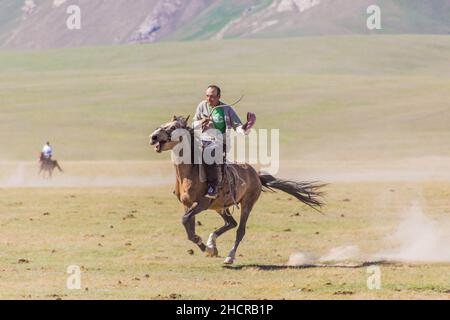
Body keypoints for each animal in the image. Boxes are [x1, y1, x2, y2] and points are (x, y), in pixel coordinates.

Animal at [149, 116, 326, 264]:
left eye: (173, 127)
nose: (153, 137)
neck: (189, 173)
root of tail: (256, 175)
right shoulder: (187, 204)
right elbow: (189, 229)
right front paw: (208, 249)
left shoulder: (202, 204)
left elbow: (186, 221)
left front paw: (208, 248)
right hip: (220, 206)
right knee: (231, 223)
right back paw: (212, 242)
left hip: (246, 204)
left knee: (240, 230)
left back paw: (230, 256)